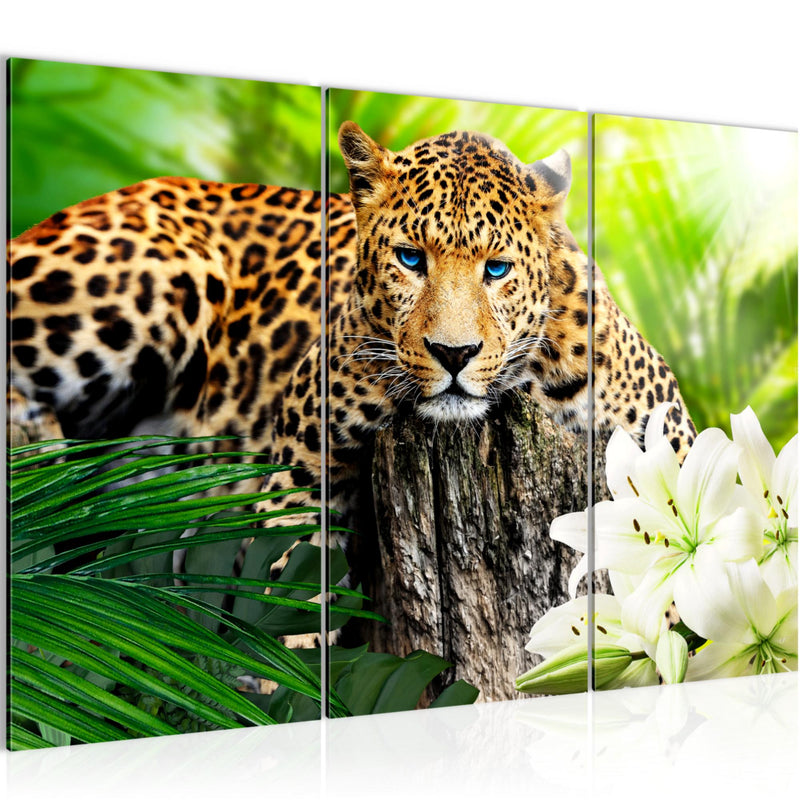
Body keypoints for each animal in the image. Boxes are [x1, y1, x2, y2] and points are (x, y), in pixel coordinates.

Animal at [7, 121, 696, 627]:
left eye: (496, 269)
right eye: (411, 259)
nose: (453, 353)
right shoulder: (302, 461)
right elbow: (289, 586)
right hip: (158, 276)